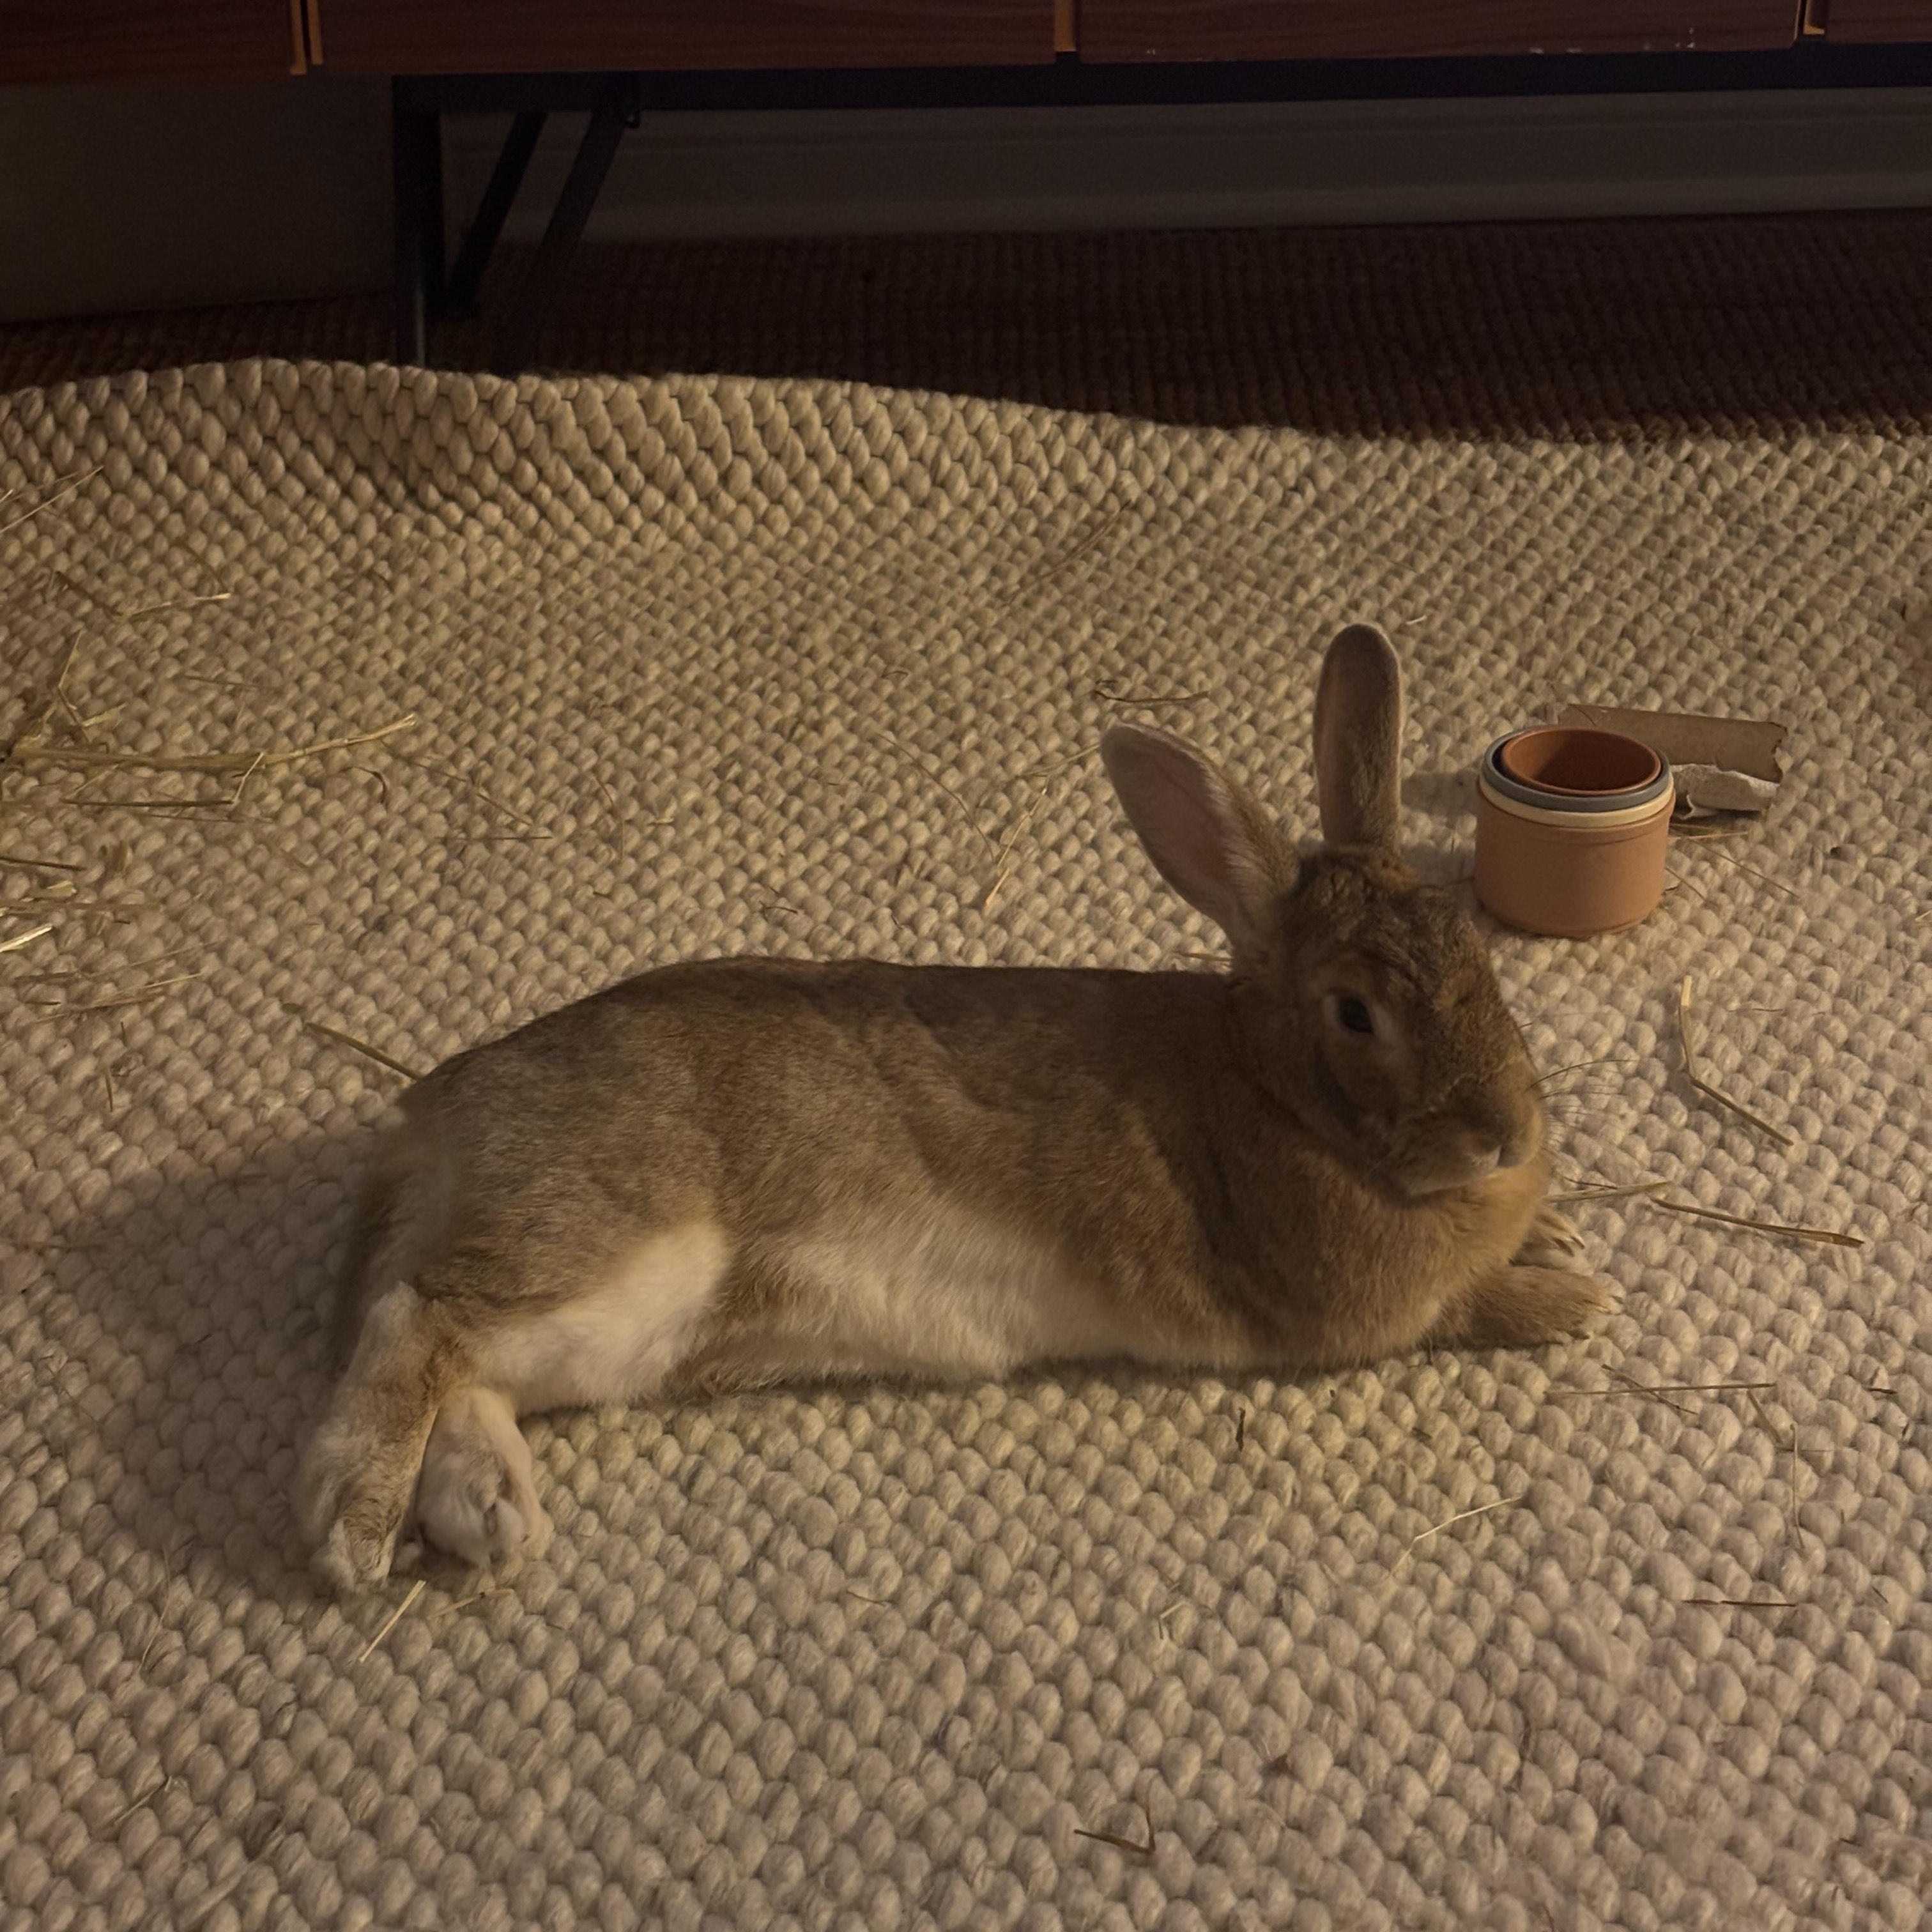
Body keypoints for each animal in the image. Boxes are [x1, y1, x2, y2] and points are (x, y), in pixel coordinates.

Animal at [295, 623, 1611, 1594]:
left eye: (1470, 945)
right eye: (1353, 1012)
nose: (1507, 1133)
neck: (1273, 1085)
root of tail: (441, 1115)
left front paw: (1558, 1241)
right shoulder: (1347, 1303)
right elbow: (1457, 1307)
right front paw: (1569, 1299)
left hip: (619, 1329)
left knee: (464, 1361)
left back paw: (487, 1515)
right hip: (617, 1242)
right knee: (420, 1319)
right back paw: (353, 1529)